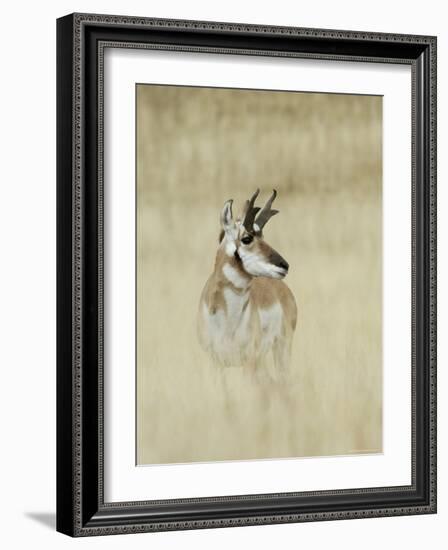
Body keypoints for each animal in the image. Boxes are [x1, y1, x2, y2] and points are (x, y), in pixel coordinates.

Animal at [197, 191, 298, 380]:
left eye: (263, 237)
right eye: (246, 238)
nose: (284, 265)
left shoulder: (249, 362)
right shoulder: (216, 363)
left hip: (281, 349)